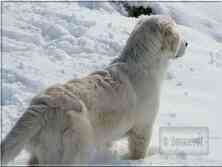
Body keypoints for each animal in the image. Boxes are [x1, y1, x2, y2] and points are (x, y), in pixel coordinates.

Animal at [0, 15, 187, 166]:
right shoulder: (143, 125)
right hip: (74, 148)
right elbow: (138, 150)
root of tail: (42, 106)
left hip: (43, 150)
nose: (187, 43)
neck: (141, 63)